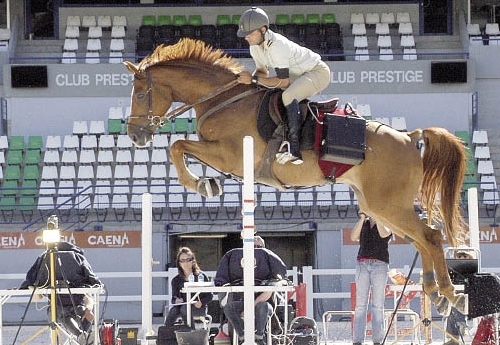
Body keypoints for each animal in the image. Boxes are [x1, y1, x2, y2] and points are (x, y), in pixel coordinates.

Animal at [125, 37, 468, 314]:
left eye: (140, 95)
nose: (135, 136)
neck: (221, 100)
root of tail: (409, 137)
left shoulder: (230, 155)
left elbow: (178, 146)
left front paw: (203, 184)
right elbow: (179, 147)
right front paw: (206, 182)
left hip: (388, 205)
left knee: (430, 237)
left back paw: (451, 294)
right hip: (379, 207)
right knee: (422, 240)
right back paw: (435, 294)